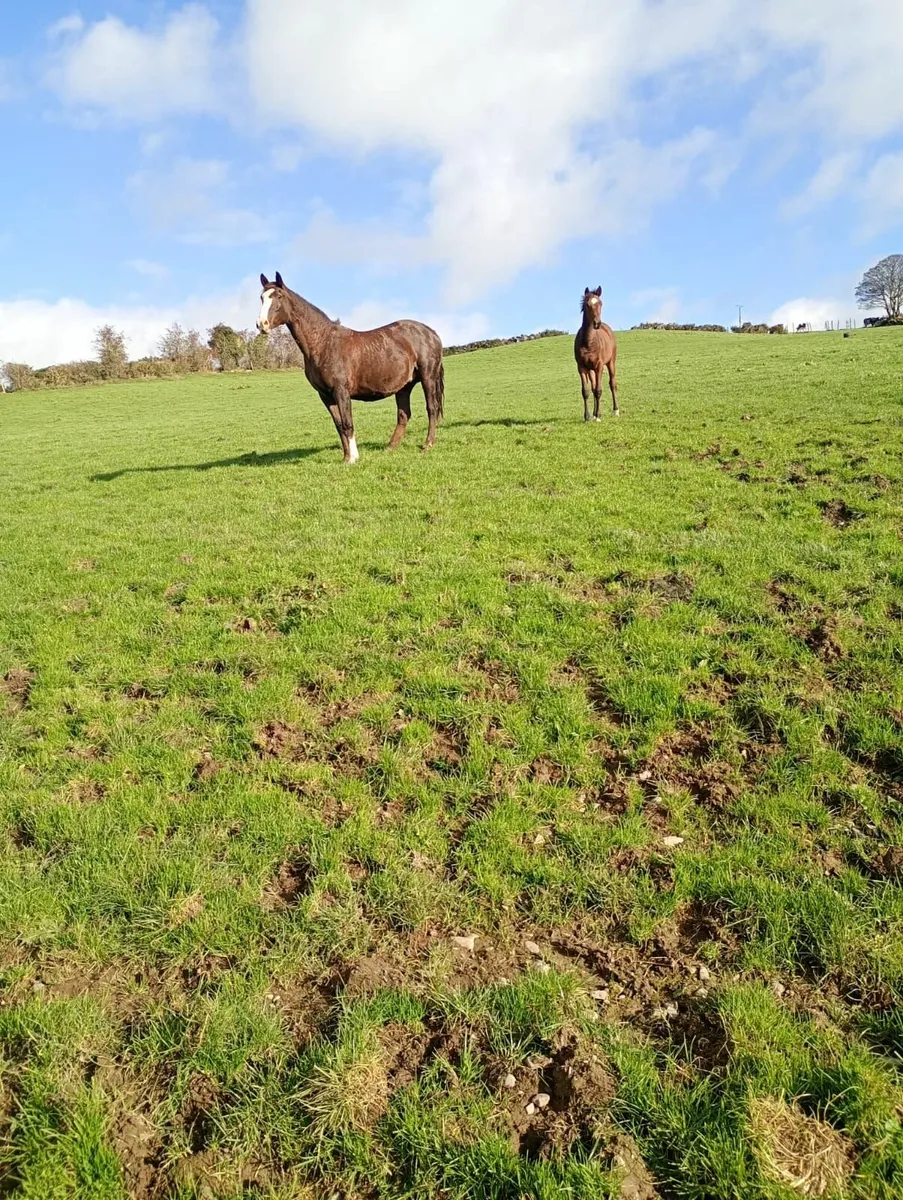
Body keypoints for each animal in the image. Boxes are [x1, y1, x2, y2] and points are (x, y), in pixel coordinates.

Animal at [257, 272, 445, 464]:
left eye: (279, 296)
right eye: (262, 298)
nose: (262, 324)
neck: (323, 343)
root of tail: (431, 332)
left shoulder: (341, 391)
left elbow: (348, 423)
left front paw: (353, 458)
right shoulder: (326, 395)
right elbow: (339, 425)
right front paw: (346, 456)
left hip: (428, 377)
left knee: (432, 408)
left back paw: (428, 444)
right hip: (404, 386)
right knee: (404, 414)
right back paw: (390, 447)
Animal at [574, 287, 619, 420]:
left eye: (601, 303)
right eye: (587, 304)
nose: (597, 323)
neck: (589, 342)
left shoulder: (599, 366)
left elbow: (599, 390)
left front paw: (598, 416)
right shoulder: (582, 367)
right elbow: (586, 391)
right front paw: (588, 417)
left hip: (611, 363)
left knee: (612, 384)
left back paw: (616, 410)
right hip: (591, 370)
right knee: (593, 388)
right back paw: (593, 414)